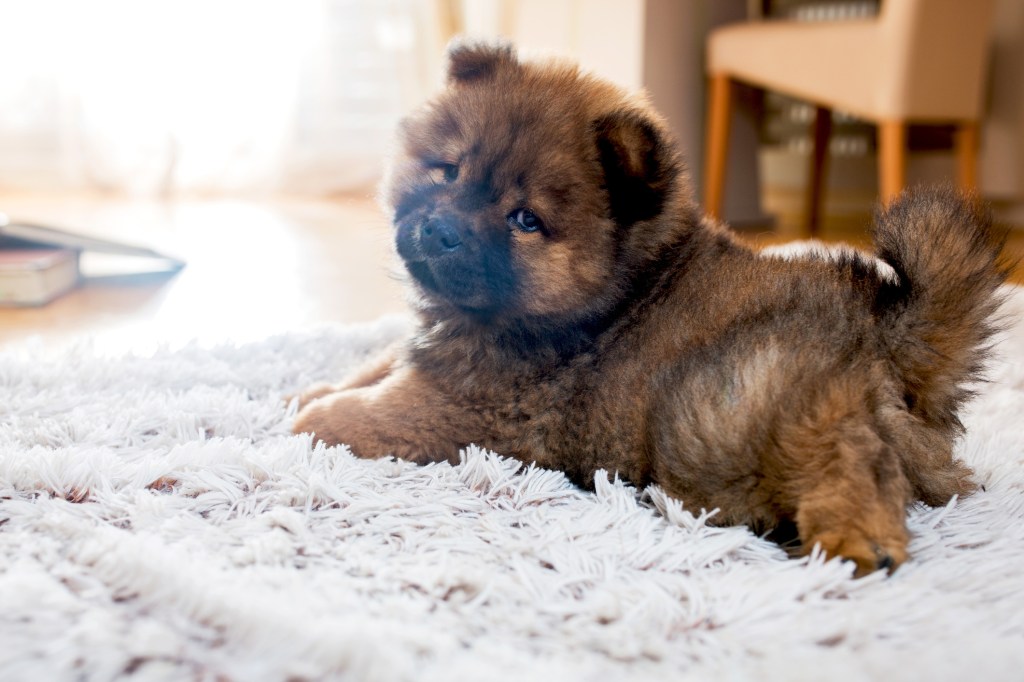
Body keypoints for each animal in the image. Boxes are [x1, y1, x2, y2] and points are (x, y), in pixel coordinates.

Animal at [292, 42, 1003, 573]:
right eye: (447, 170)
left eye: (525, 220)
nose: (441, 231)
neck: (619, 291)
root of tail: (891, 331)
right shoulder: (434, 356)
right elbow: (378, 364)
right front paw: (313, 389)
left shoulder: (469, 404)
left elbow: (380, 410)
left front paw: (314, 418)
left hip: (753, 400)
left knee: (853, 458)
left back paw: (858, 540)